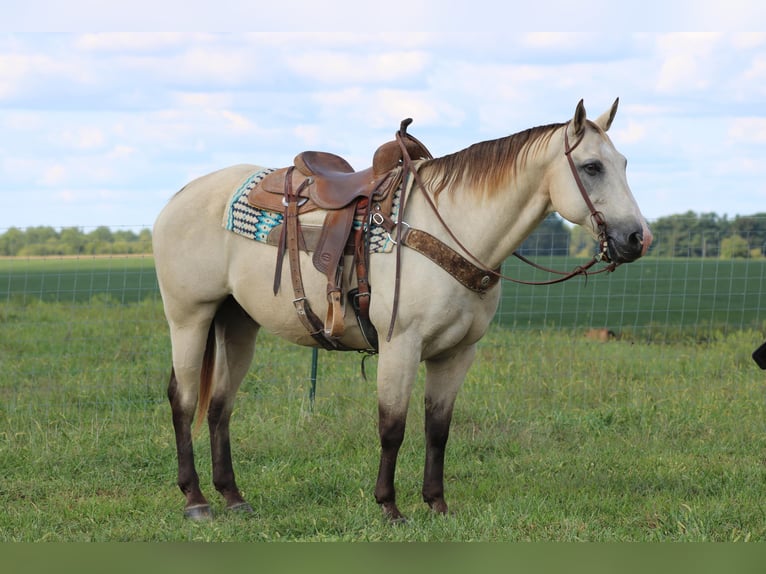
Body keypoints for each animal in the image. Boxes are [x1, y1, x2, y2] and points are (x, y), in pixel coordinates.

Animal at [154, 99, 656, 520]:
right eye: (591, 167)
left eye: (625, 164)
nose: (638, 238)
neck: (453, 228)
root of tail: (179, 194)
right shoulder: (401, 345)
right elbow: (392, 426)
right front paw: (389, 507)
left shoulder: (457, 353)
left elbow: (438, 428)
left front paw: (436, 503)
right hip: (190, 317)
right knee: (183, 400)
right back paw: (196, 501)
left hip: (237, 323)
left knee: (220, 406)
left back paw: (233, 497)